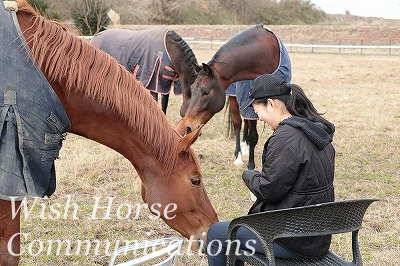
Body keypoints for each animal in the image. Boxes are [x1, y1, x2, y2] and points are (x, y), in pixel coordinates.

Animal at [184, 25, 290, 169]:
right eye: (192, 89)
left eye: (205, 92)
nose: (188, 127)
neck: (264, 54)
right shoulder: (247, 99)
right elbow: (252, 135)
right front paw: (250, 165)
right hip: (235, 98)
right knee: (238, 123)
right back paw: (239, 155)